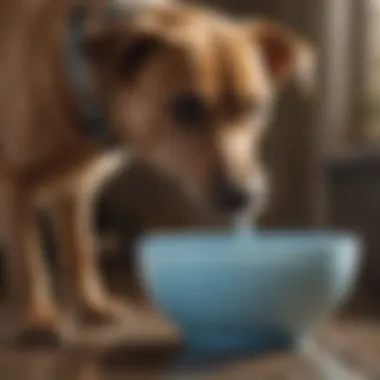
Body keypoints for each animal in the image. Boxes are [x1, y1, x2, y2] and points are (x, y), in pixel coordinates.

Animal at [0, 0, 314, 344]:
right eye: (185, 107)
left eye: (256, 108)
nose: (244, 197)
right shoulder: (14, 184)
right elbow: (30, 262)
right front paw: (37, 318)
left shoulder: (75, 190)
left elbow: (80, 249)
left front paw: (91, 306)